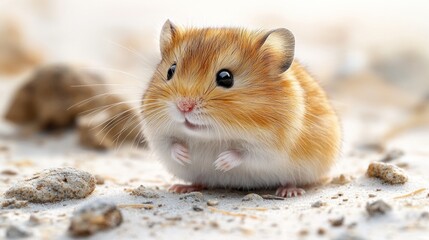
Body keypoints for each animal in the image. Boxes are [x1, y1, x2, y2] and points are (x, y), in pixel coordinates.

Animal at [142, 20, 340, 197]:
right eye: (170, 70)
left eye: (225, 77)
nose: (184, 106)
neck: (210, 137)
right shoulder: (158, 137)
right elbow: (171, 144)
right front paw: (185, 156)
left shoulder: (269, 150)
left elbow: (242, 153)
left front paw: (220, 163)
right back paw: (180, 187)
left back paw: (289, 191)